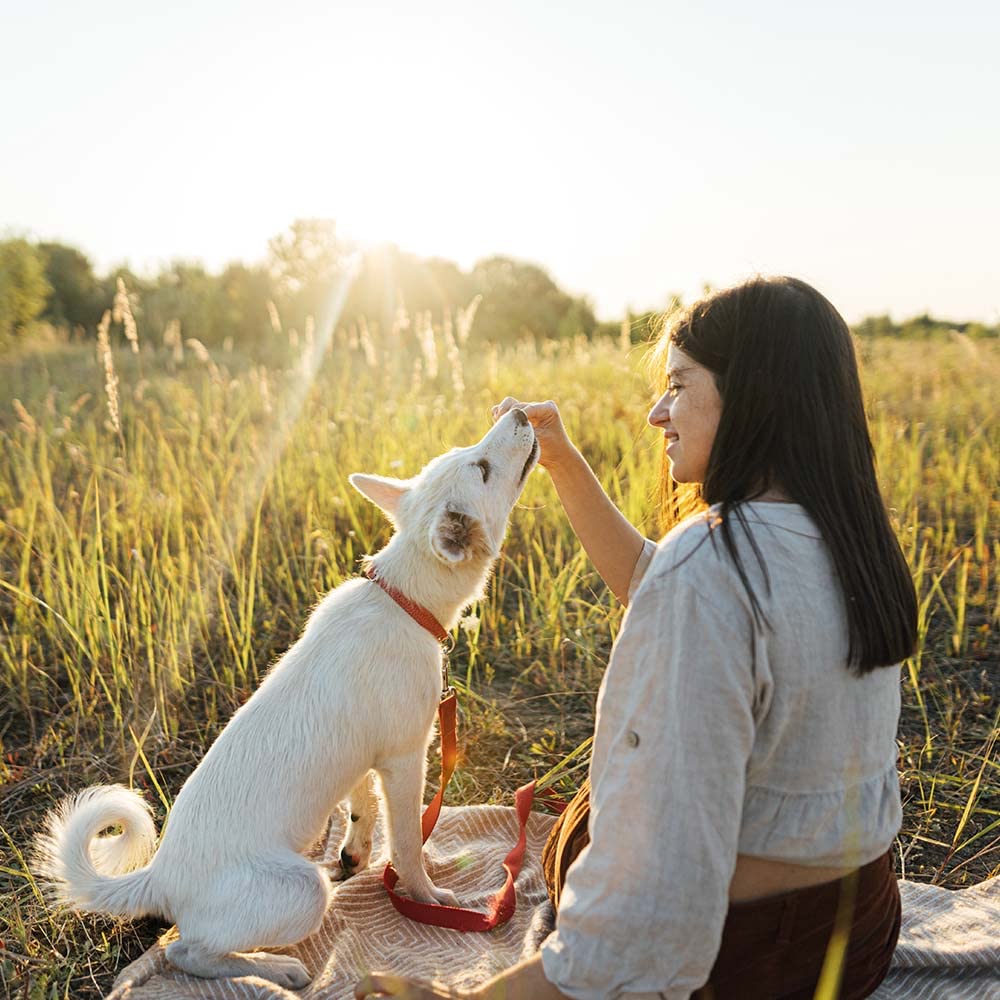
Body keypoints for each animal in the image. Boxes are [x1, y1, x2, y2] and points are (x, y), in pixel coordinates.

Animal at [35, 410, 540, 988]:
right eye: (481, 468)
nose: (520, 412)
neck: (403, 598)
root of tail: (160, 875)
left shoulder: (367, 759)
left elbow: (361, 807)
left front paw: (356, 853)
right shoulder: (405, 757)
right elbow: (410, 841)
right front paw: (426, 895)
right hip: (301, 891)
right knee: (186, 953)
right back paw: (277, 969)